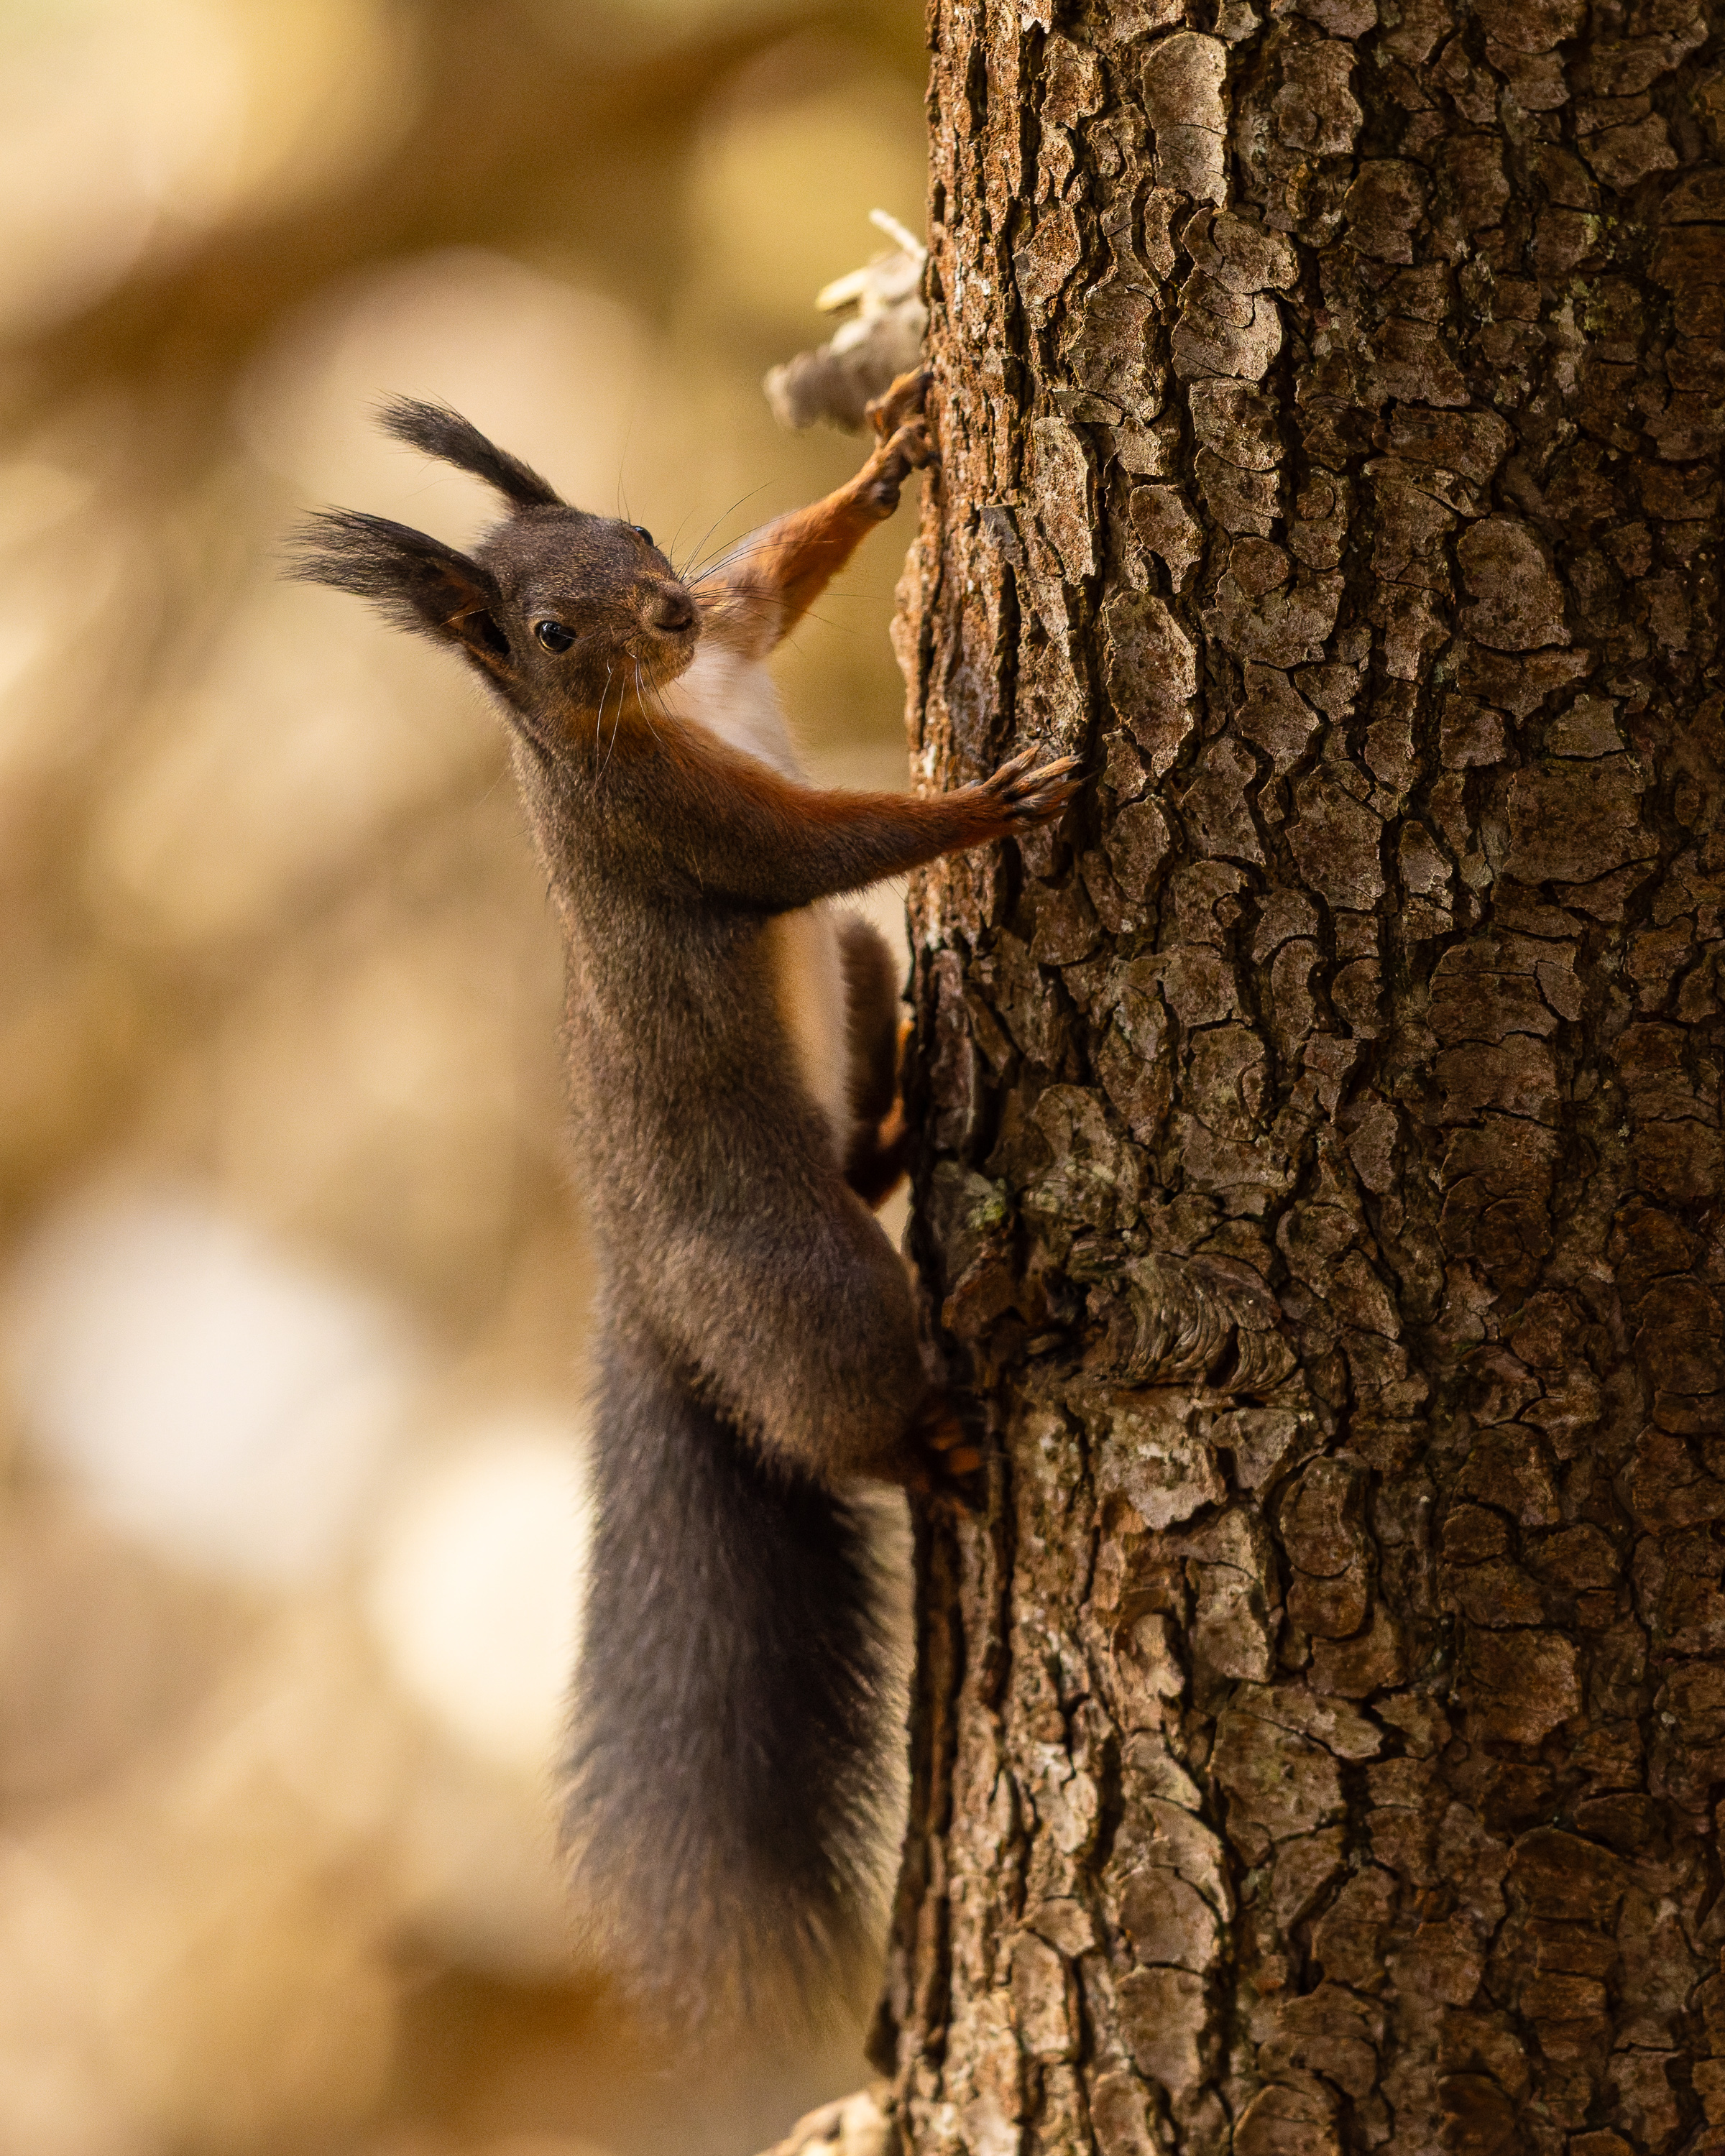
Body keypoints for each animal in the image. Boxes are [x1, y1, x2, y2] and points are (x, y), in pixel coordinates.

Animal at [292, 370, 1079, 2034]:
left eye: (638, 531)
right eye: (547, 634)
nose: (655, 613)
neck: (667, 699)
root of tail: (646, 1294)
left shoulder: (733, 629)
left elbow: (774, 577)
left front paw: (893, 456)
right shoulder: (671, 824)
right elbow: (822, 844)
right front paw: (988, 802)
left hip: (857, 972)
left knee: (868, 1080)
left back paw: (902, 1116)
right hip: (803, 1279)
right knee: (839, 1396)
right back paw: (936, 1419)